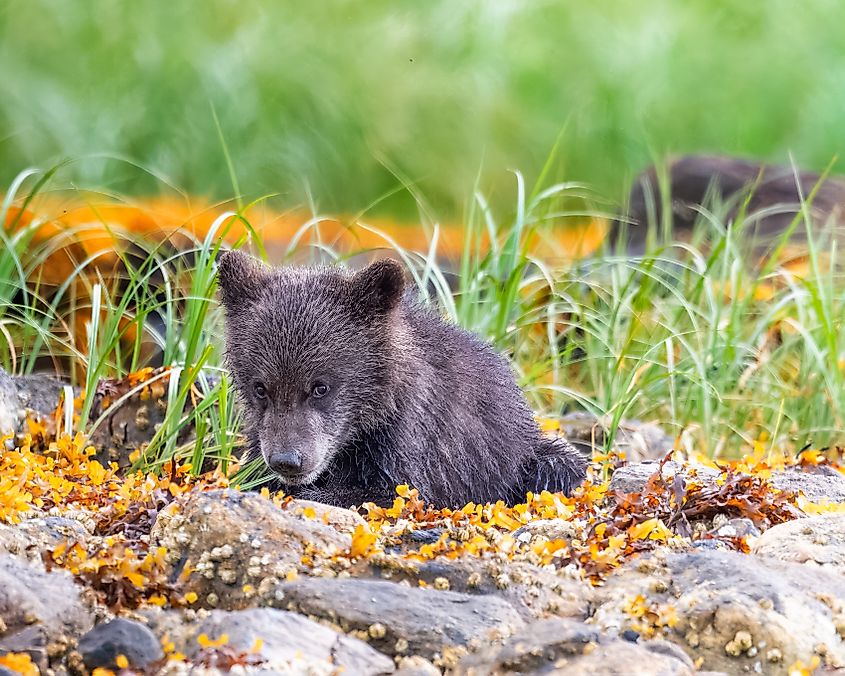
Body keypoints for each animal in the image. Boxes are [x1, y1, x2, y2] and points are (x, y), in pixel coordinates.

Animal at [216, 250, 586, 508]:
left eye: (321, 386)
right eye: (260, 387)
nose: (288, 460)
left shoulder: (412, 445)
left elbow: (390, 492)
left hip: (521, 458)